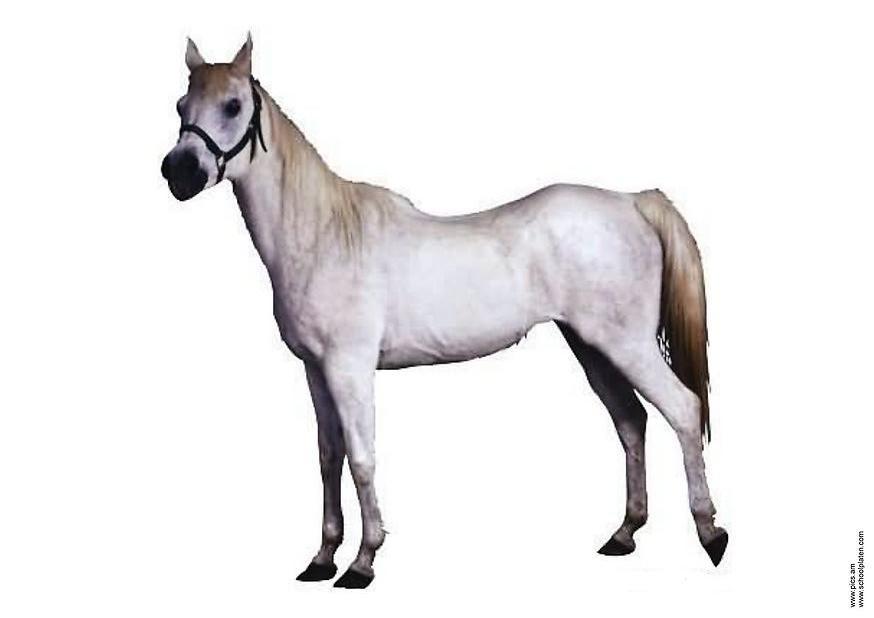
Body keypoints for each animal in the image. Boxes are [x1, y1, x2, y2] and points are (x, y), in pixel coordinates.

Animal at [161, 35, 728, 588]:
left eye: (233, 105)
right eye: (182, 106)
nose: (178, 172)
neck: (323, 234)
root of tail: (632, 201)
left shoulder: (349, 369)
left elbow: (361, 460)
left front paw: (362, 563)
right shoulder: (316, 371)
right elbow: (328, 457)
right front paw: (322, 559)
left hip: (626, 344)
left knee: (682, 411)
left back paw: (711, 535)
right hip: (591, 347)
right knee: (631, 422)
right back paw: (624, 534)